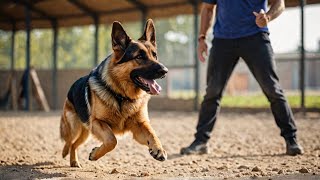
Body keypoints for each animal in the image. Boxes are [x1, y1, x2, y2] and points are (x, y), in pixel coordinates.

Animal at [61, 19, 169, 167]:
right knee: (69, 140)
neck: (122, 96)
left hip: (85, 133)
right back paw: (65, 152)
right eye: (139, 56)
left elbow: (152, 133)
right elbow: (112, 140)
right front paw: (95, 154)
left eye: (154, 55)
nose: (165, 71)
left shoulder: (140, 125)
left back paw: (74, 161)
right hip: (76, 128)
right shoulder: (97, 122)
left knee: (74, 144)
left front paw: (158, 148)